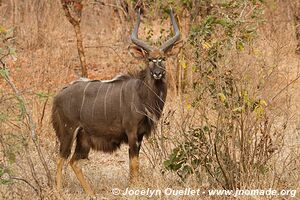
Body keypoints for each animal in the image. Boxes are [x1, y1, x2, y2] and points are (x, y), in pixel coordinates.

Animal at [52, 8, 180, 196]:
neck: (142, 95)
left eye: (163, 58)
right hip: (68, 132)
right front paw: (134, 188)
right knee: (61, 158)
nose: (158, 73)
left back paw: (91, 194)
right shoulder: (132, 132)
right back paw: (58, 192)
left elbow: (134, 162)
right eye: (149, 59)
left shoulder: (140, 134)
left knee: (73, 161)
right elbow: (134, 164)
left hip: (83, 139)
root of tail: (57, 97)